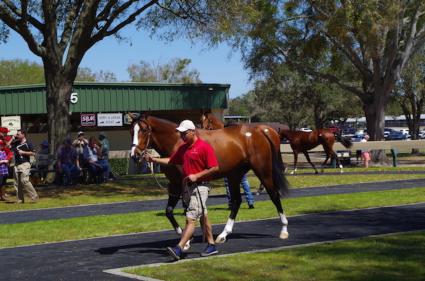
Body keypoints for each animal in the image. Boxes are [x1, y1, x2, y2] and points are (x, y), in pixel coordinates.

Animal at [129, 114, 288, 243]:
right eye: (131, 131)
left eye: (144, 130)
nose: (134, 155)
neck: (176, 142)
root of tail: (260, 131)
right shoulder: (174, 184)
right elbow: (169, 211)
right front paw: (185, 234)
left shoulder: (185, 183)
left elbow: (188, 209)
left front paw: (188, 238)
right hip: (234, 175)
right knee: (236, 201)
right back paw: (223, 235)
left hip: (263, 170)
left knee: (274, 195)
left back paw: (284, 229)